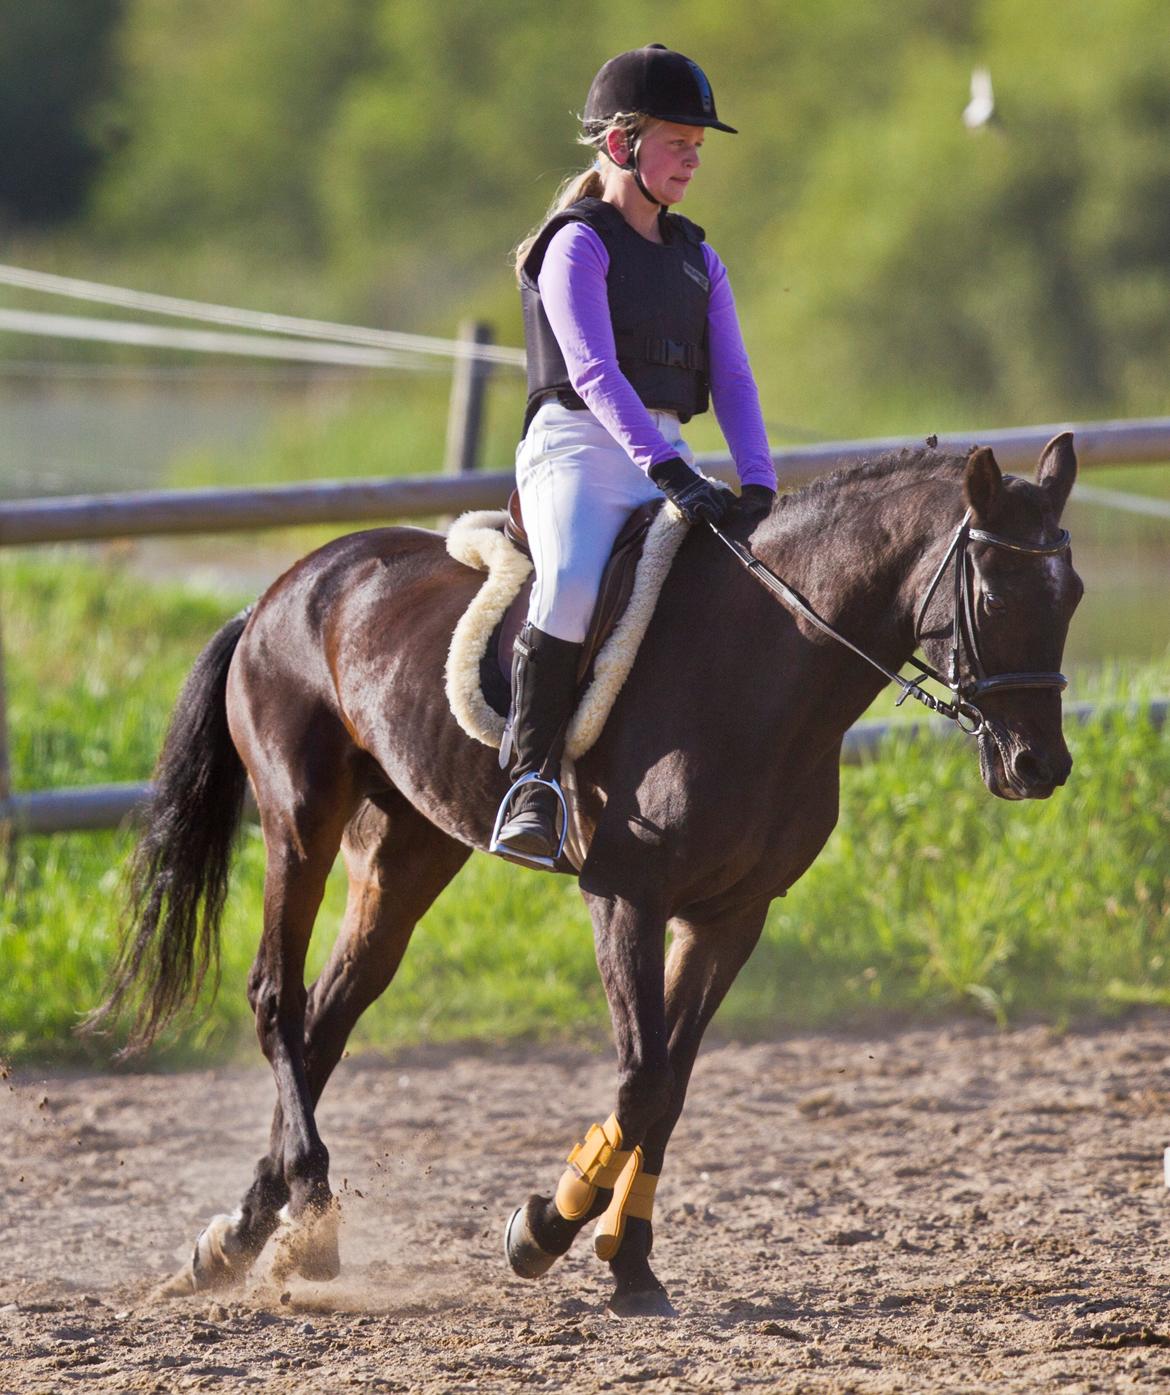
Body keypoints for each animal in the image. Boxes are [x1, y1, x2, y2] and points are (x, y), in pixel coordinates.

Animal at [96, 432, 1082, 1316]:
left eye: (1070, 591)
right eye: (991, 590)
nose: (1039, 766)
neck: (762, 664)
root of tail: (282, 589)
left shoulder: (731, 915)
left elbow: (670, 1089)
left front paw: (631, 1264)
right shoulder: (625, 897)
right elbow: (640, 1078)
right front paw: (543, 1229)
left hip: (405, 850)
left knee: (328, 1018)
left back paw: (244, 1235)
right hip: (298, 820)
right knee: (277, 998)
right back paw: (311, 1218)